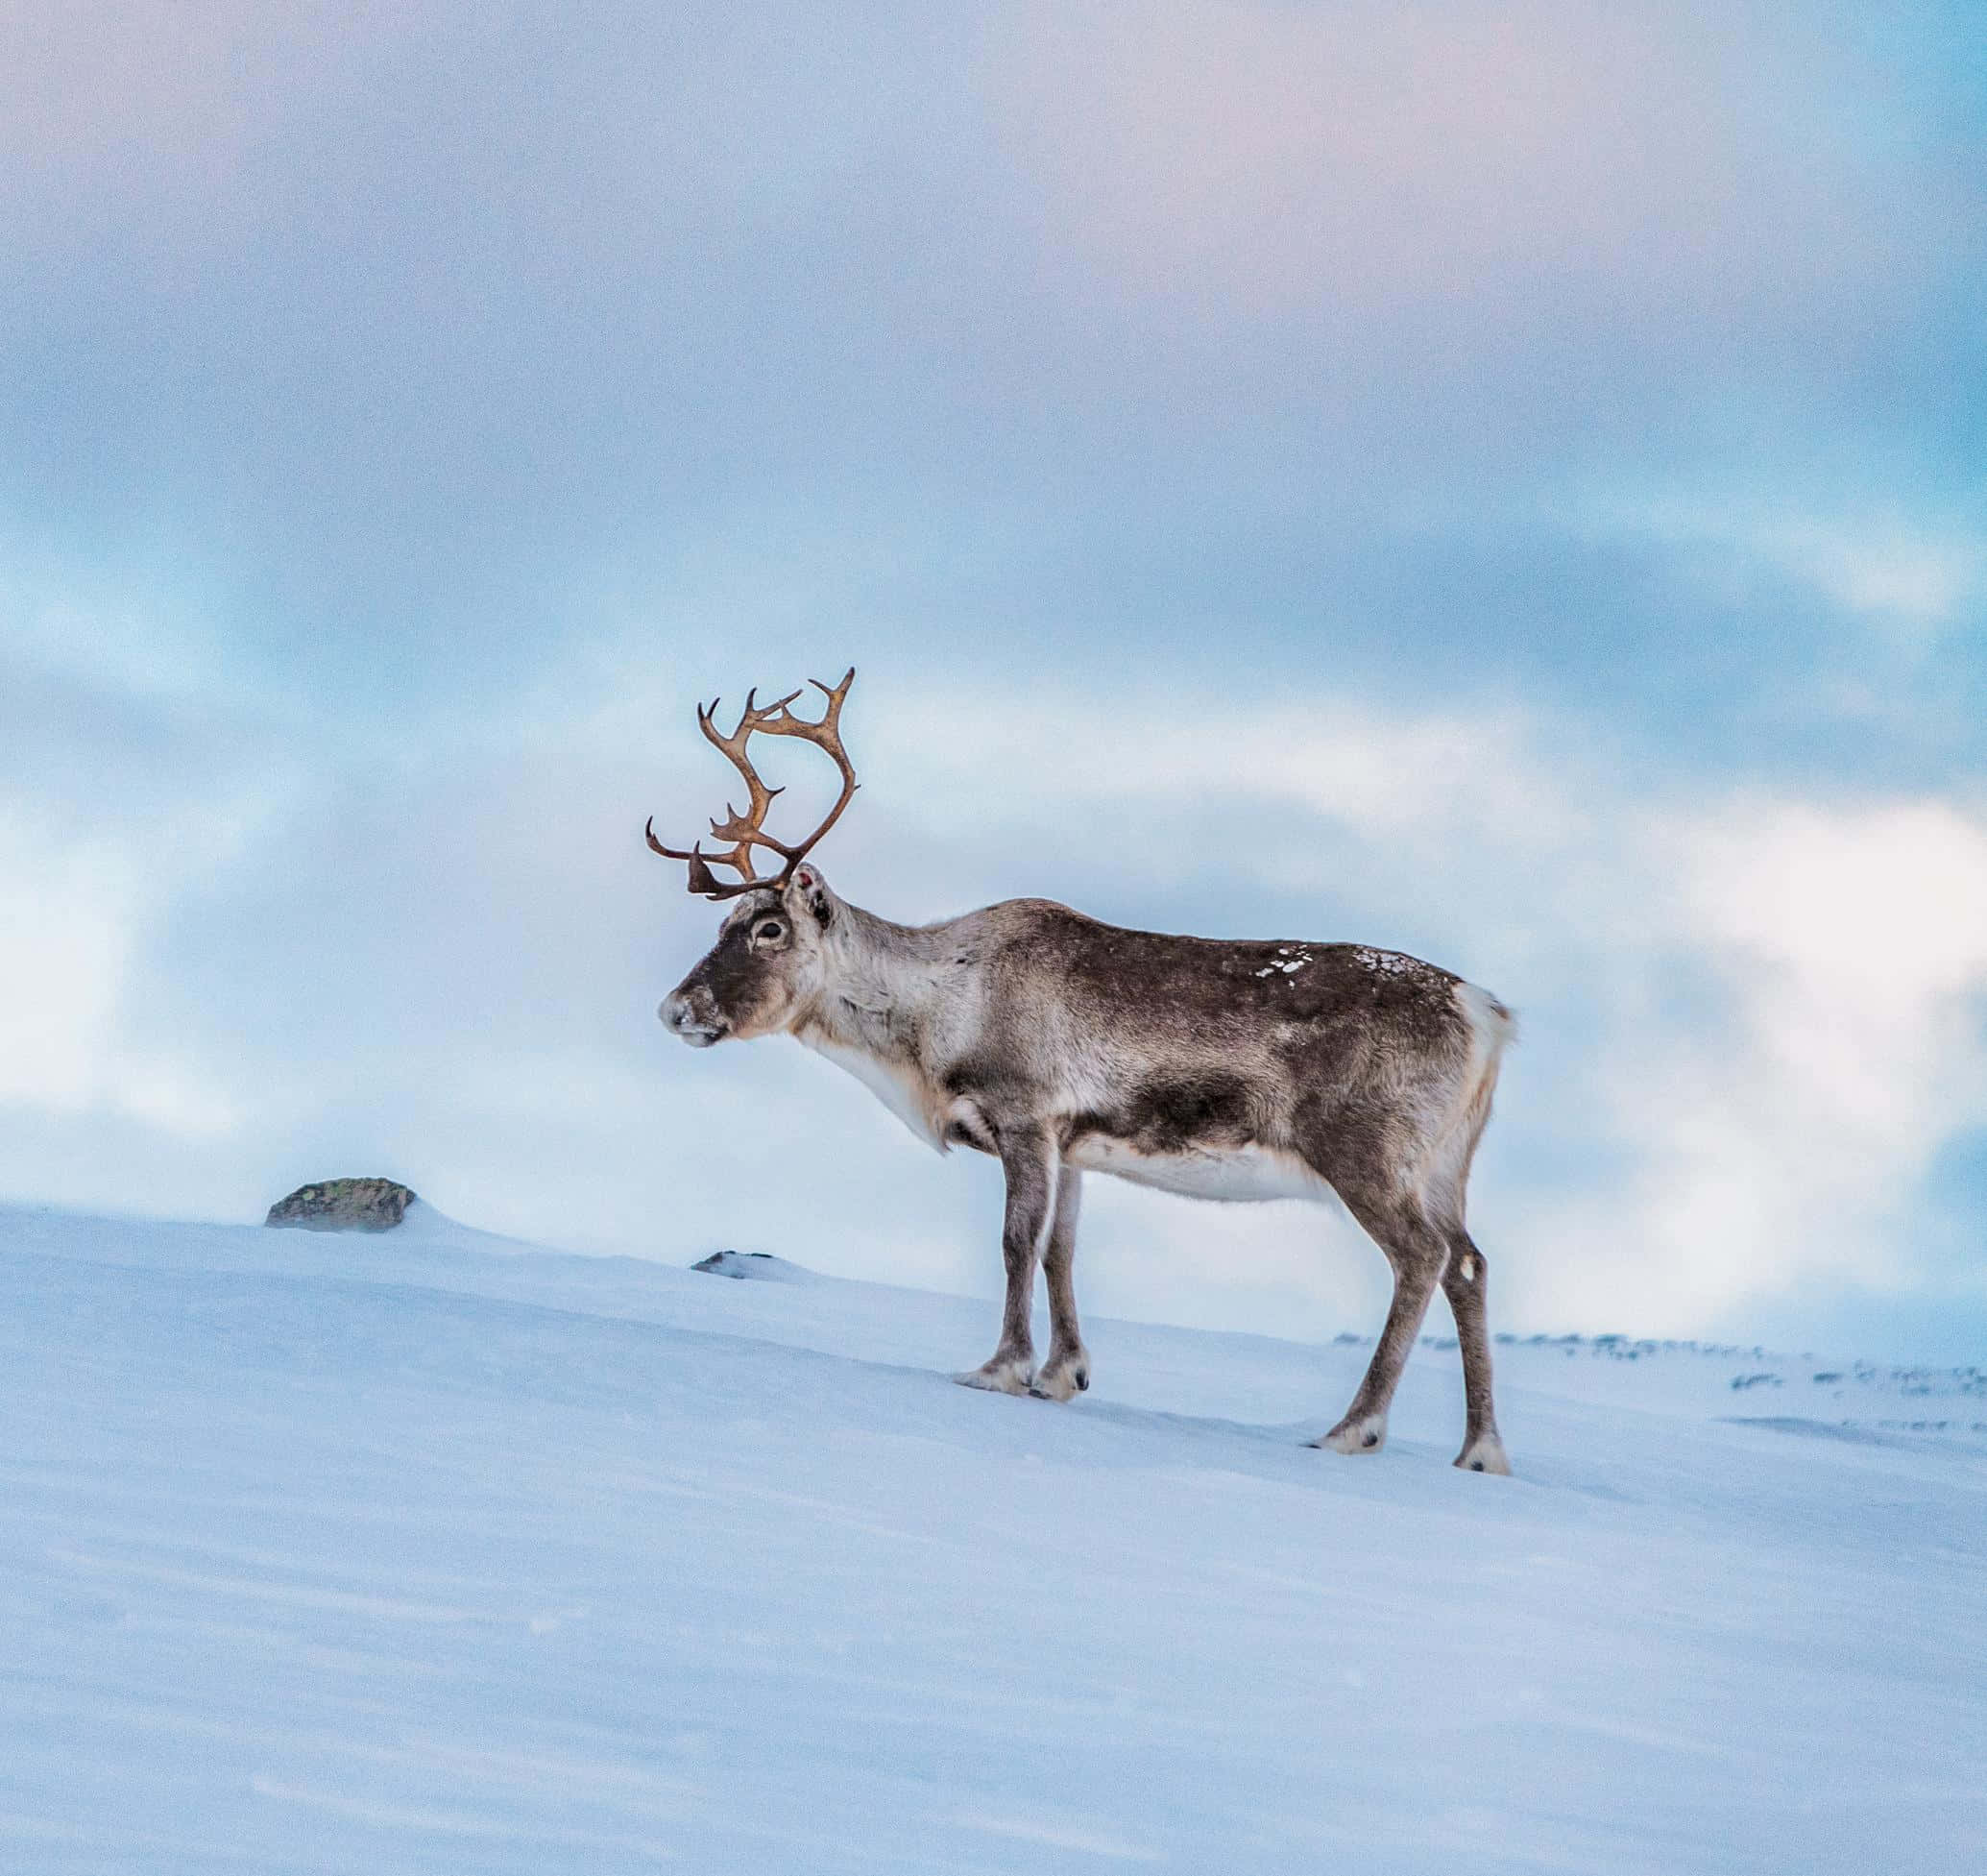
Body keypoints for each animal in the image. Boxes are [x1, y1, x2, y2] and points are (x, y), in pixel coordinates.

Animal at [650, 670, 1516, 1473]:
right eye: (723, 921)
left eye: (768, 926)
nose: (674, 1009)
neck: (936, 1012)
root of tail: (1486, 1013)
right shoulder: (1071, 1142)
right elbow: (1059, 1248)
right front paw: (1062, 1373)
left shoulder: (1024, 1115)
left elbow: (1014, 1239)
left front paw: (999, 1367)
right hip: (1444, 1164)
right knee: (1469, 1262)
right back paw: (1479, 1451)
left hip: (1365, 1152)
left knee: (1420, 1257)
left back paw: (1352, 1427)